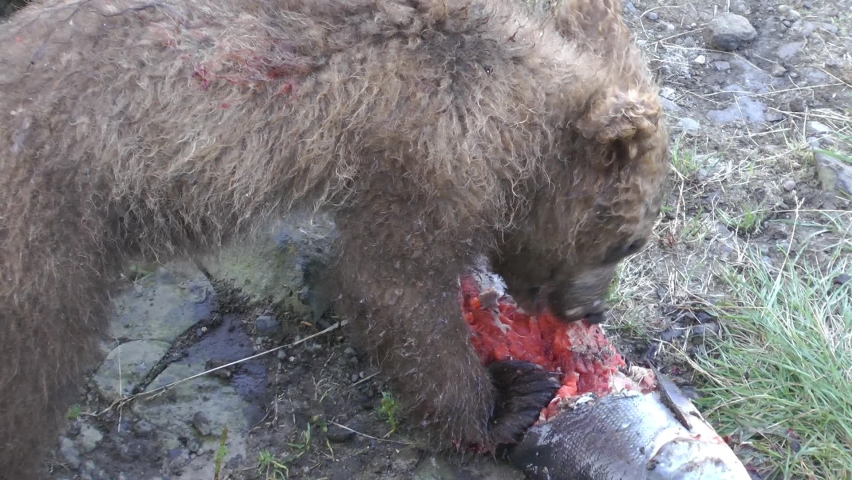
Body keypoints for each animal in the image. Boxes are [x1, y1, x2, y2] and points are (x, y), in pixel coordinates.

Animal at [0, 0, 668, 477]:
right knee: (37, 364)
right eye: (626, 246)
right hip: (52, 220)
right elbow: (393, 287)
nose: (593, 309)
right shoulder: (426, 151)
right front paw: (507, 400)